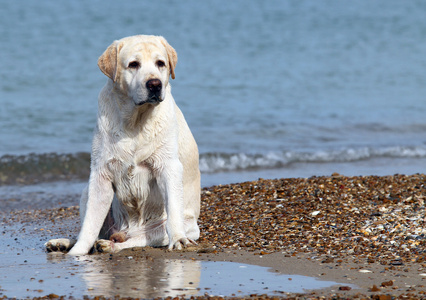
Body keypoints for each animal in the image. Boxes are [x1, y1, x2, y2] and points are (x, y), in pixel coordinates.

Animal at [45, 35, 202, 255]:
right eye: (133, 64)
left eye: (160, 63)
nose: (155, 84)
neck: (135, 122)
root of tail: (124, 231)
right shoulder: (101, 173)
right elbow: (89, 227)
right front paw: (76, 253)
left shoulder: (168, 166)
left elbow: (173, 210)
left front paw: (178, 239)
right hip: (87, 191)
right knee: (93, 231)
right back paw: (65, 243)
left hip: (168, 228)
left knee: (138, 239)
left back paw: (110, 245)